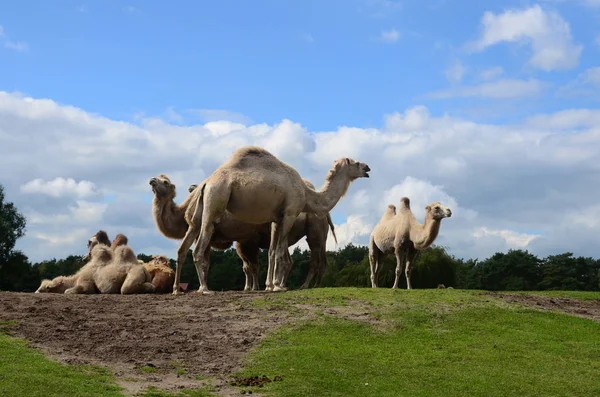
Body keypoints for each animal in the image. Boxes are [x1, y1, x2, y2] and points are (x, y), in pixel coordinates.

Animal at [188, 179, 338, 288]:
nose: (191, 187)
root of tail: (326, 214)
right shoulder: (243, 245)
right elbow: (247, 267)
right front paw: (250, 287)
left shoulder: (249, 243)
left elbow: (253, 266)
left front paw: (254, 287)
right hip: (319, 236)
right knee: (309, 260)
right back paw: (309, 284)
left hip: (314, 234)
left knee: (313, 260)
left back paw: (303, 285)